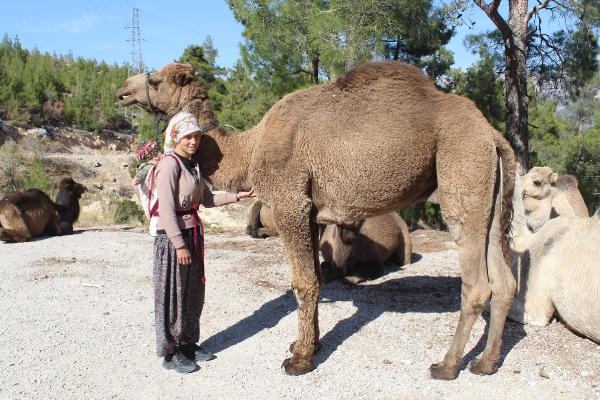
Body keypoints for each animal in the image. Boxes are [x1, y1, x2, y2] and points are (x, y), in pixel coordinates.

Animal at [116, 61, 516, 380]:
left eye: (155, 80)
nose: (121, 92)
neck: (250, 148)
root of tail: (492, 135)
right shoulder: (310, 212)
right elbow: (318, 279)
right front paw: (308, 345)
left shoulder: (289, 203)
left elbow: (303, 283)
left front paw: (299, 361)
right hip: (489, 193)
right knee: (505, 280)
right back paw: (485, 363)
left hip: (462, 168)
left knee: (477, 283)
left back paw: (446, 366)